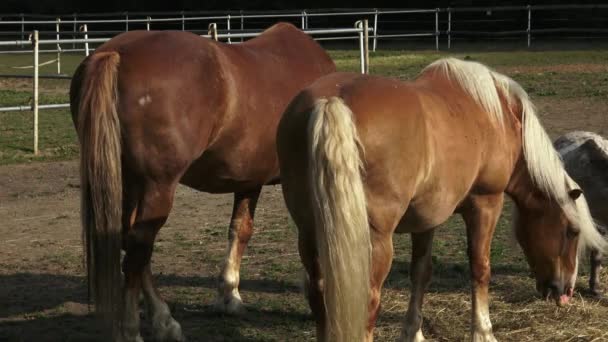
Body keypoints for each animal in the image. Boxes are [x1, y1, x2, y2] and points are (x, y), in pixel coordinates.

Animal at [70, 22, 338, 340]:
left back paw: (164, 320)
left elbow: (240, 229)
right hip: (157, 186)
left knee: (130, 244)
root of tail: (115, 53)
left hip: (129, 183)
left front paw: (229, 296)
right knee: (137, 250)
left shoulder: (248, 180)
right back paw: (132, 330)